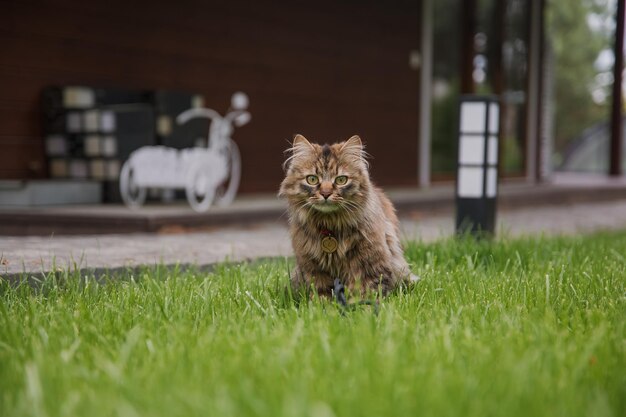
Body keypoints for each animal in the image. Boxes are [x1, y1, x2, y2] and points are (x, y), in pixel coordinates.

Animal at [276, 135, 414, 298]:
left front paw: (361, 304)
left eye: (341, 180)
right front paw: (322, 304)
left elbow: (366, 290)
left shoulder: (369, 263)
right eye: (312, 179)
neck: (330, 225)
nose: (326, 193)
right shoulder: (313, 267)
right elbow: (321, 293)